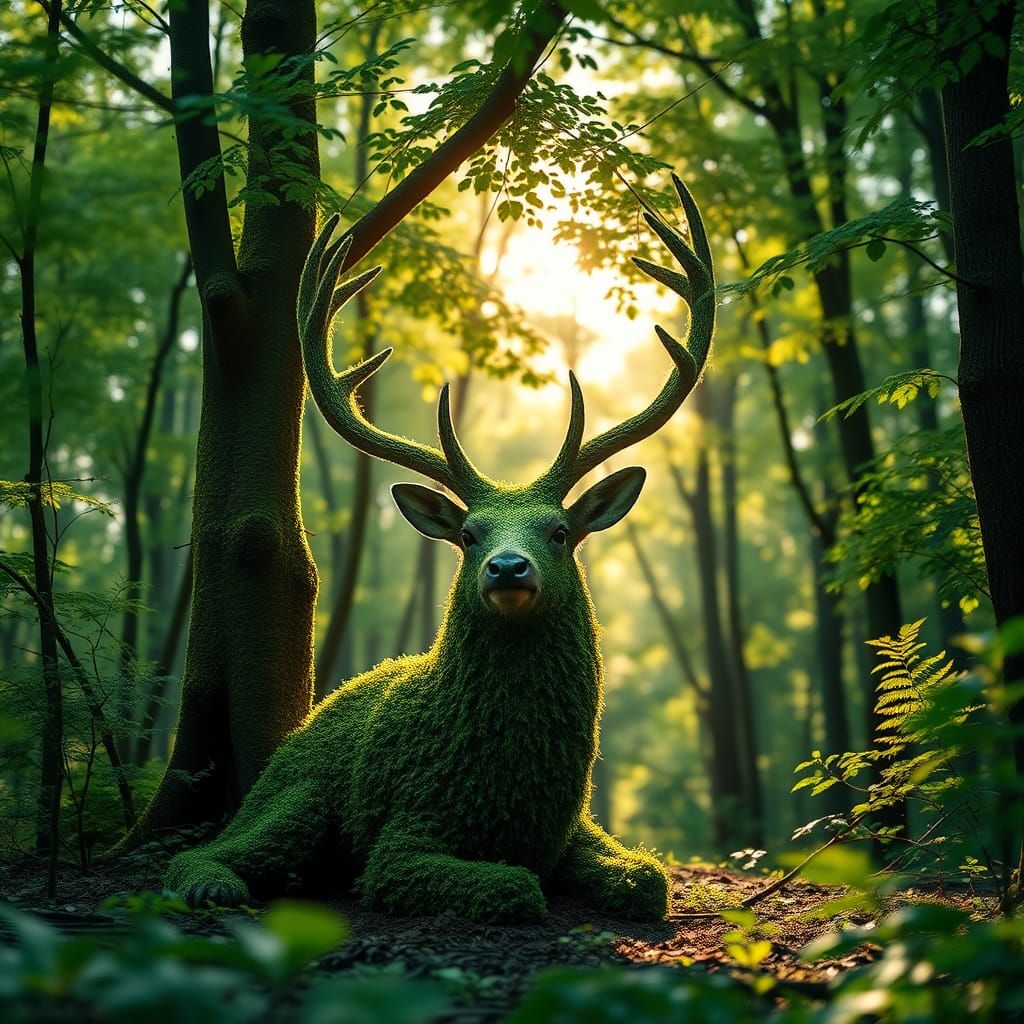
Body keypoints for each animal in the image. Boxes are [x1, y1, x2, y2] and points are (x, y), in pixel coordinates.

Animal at [165, 175, 714, 923]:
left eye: (560, 532)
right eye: (469, 534)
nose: (507, 567)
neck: (512, 795)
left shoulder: (575, 827)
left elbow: (648, 880)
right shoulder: (405, 833)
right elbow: (514, 885)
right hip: (300, 793)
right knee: (215, 848)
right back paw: (212, 883)